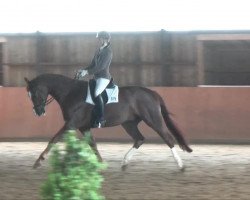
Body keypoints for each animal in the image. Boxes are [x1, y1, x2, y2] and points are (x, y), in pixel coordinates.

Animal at [24, 73, 192, 170]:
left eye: (36, 92)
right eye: (29, 95)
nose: (38, 112)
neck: (71, 93)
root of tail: (152, 93)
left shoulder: (71, 124)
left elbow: (54, 139)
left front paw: (39, 161)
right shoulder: (84, 127)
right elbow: (93, 144)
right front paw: (100, 163)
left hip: (153, 120)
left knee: (168, 138)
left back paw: (180, 165)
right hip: (128, 124)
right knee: (139, 139)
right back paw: (124, 162)